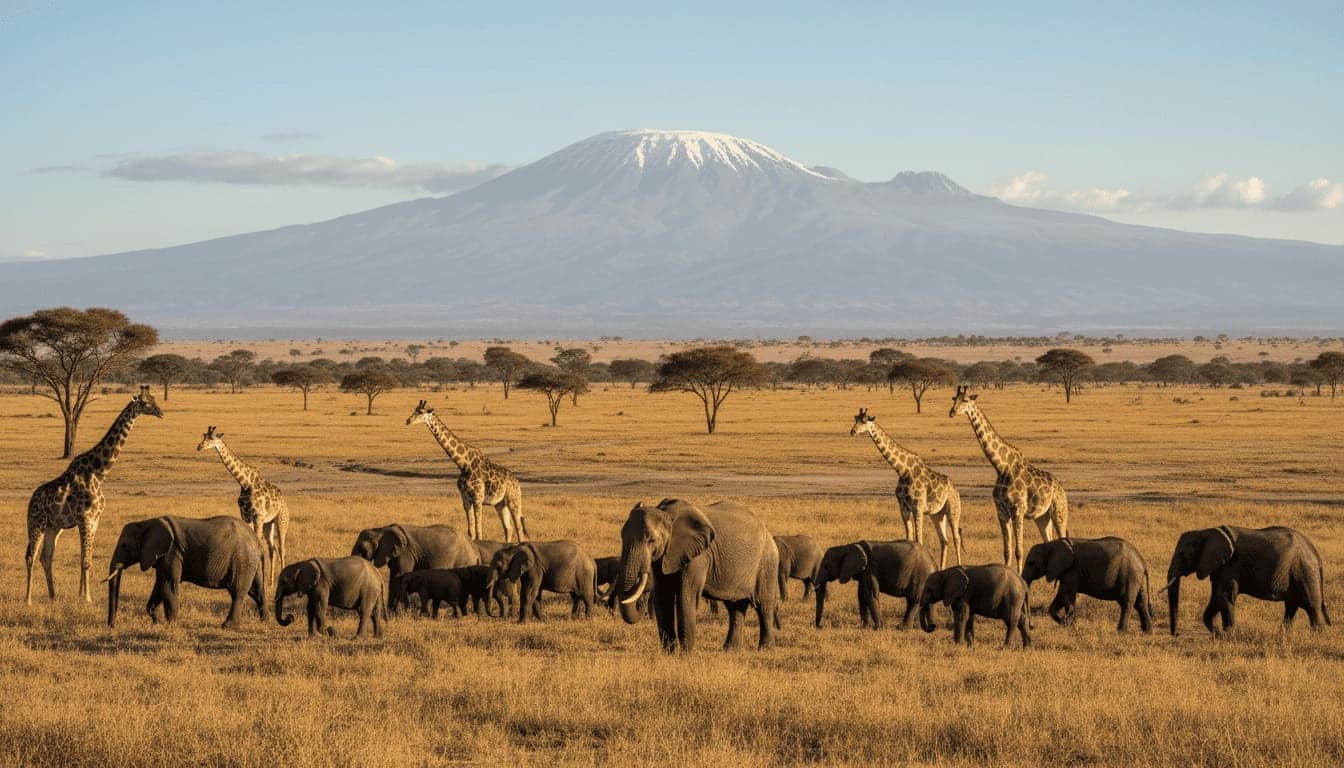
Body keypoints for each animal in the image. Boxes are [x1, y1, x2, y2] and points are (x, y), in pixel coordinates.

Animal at [105, 515, 266, 629]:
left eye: (125, 546)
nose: (112, 626)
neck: (146, 523)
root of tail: (257, 542)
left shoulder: (172, 553)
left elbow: (168, 586)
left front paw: (171, 625)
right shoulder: (162, 557)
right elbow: (159, 586)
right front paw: (156, 622)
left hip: (242, 561)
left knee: (237, 592)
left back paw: (228, 626)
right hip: (252, 562)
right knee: (257, 591)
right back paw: (264, 620)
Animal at [612, 498, 779, 653]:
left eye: (651, 540)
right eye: (621, 537)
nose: (642, 599)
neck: (667, 514)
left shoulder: (699, 556)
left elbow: (686, 596)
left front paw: (684, 655)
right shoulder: (664, 556)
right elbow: (663, 595)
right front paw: (669, 654)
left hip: (767, 562)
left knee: (763, 604)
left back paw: (765, 649)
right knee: (735, 607)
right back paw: (730, 650)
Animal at [1021, 536, 1153, 633]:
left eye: (1031, 563)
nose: (1032, 626)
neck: (1050, 544)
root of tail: (1143, 562)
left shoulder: (1072, 570)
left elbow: (1067, 595)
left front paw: (1069, 625)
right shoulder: (1066, 571)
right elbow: (1060, 596)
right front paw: (1064, 623)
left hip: (1129, 576)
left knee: (1126, 603)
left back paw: (1121, 632)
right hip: (1137, 578)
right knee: (1140, 603)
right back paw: (1147, 632)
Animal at [1166, 525, 1331, 637]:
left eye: (1183, 555)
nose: (1176, 635)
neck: (1205, 532)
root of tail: (1316, 553)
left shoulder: (1231, 565)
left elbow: (1224, 597)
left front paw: (1228, 636)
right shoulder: (1219, 567)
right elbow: (1216, 598)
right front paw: (1219, 634)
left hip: (1305, 572)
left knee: (1311, 607)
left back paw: (1315, 637)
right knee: (1291, 606)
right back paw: (1282, 636)